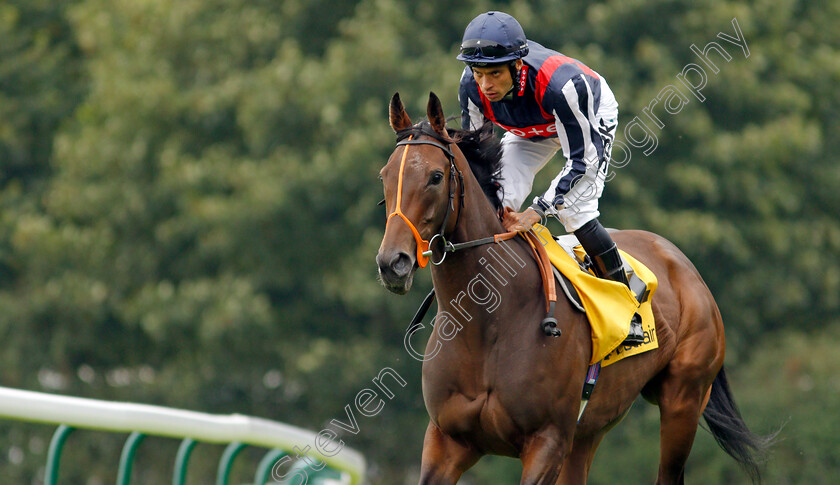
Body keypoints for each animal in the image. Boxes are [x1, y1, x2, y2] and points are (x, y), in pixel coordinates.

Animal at [378, 91, 772, 484]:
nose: (392, 262)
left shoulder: (548, 440)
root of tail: (683, 264)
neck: (486, 325)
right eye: (384, 176)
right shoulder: (447, 440)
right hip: (589, 431)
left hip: (683, 400)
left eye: (435, 176)